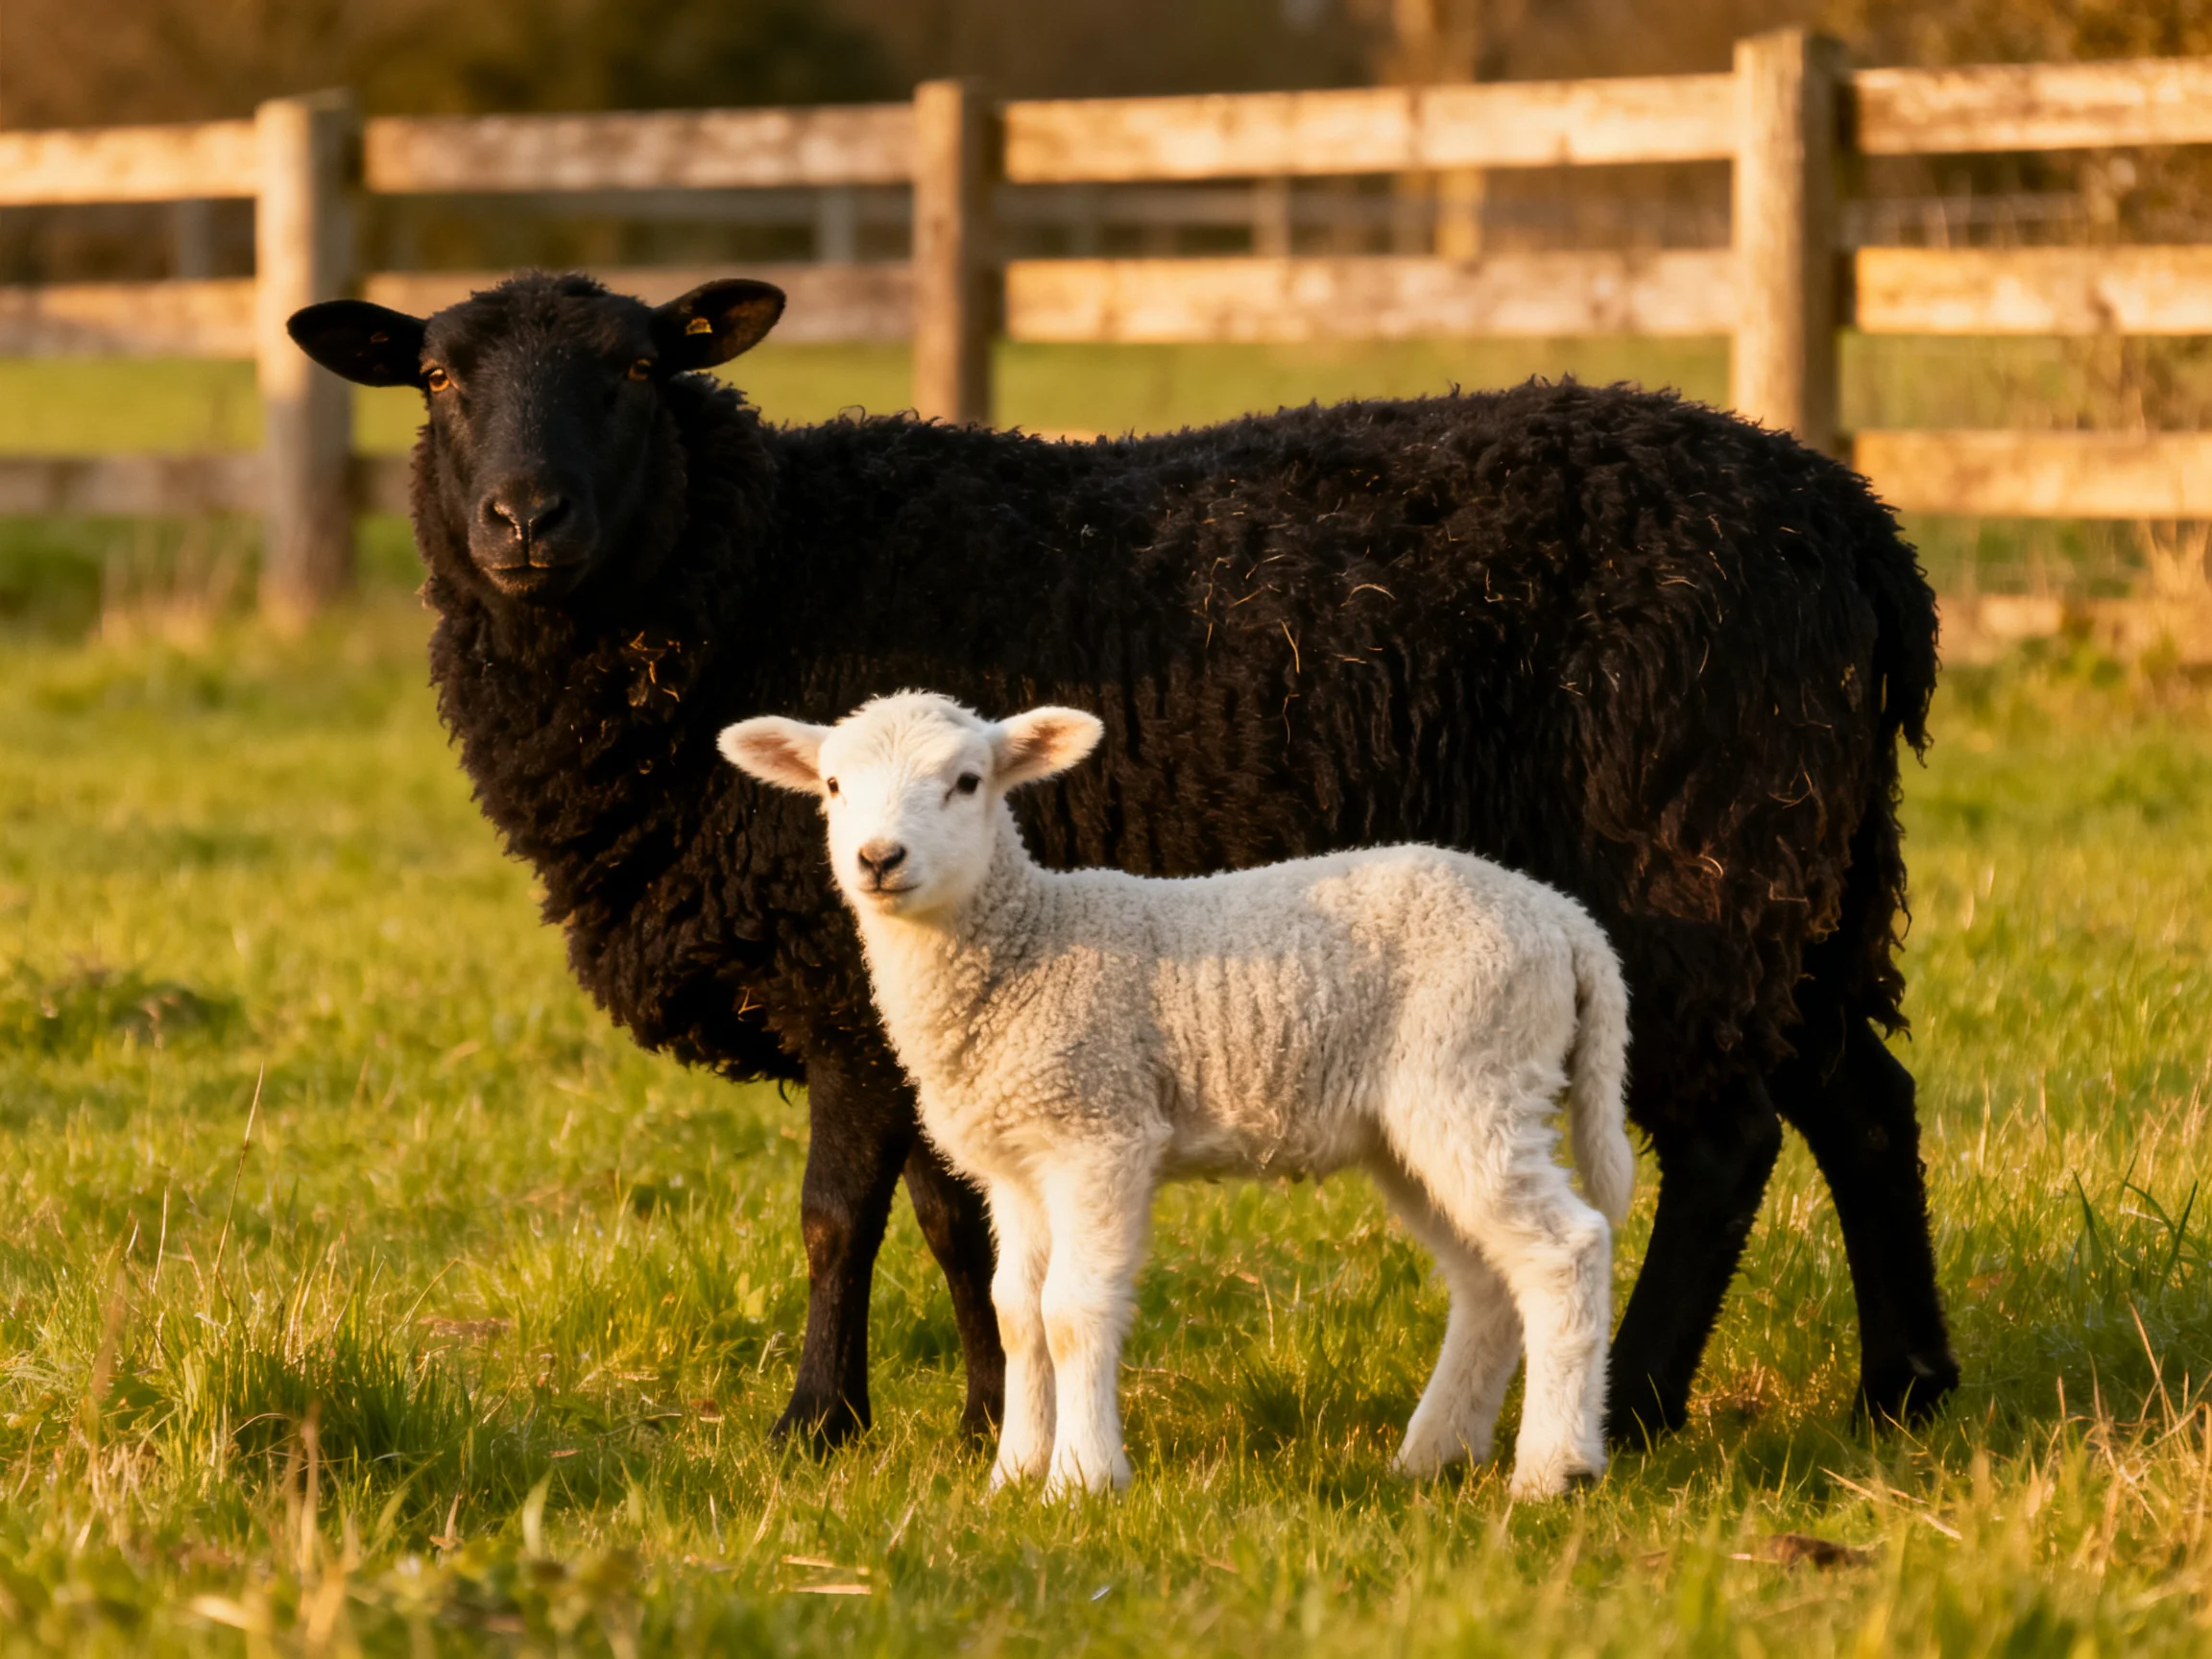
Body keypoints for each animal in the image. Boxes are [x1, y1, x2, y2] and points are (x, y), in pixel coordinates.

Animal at [719, 691, 1636, 1496]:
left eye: (968, 781)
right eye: (833, 786)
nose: (879, 859)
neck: (1025, 942)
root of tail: (1565, 920)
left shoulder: (1099, 1131)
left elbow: (1072, 1311)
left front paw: (1081, 1482)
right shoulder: (1019, 1162)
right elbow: (1017, 1313)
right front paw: (1011, 1475)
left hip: (1474, 1072)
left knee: (1567, 1249)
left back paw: (1554, 1470)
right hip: (1416, 1122)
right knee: (1489, 1280)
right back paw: (1434, 1455)